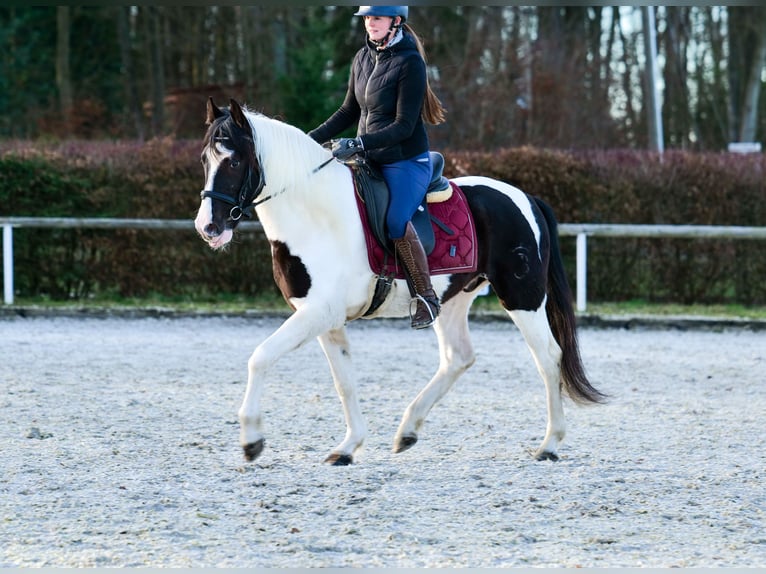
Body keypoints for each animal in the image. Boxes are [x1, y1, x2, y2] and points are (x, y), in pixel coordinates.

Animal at [192, 98, 608, 468]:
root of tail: (524, 196)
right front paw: (348, 447)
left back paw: (549, 444)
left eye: (234, 160)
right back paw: (407, 430)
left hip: (522, 297)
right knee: (459, 357)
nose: (208, 227)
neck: (317, 215)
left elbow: (260, 357)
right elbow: (344, 381)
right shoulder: (324, 317)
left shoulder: (317, 314)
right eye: (205, 160)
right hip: (450, 299)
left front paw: (252, 441)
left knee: (548, 357)